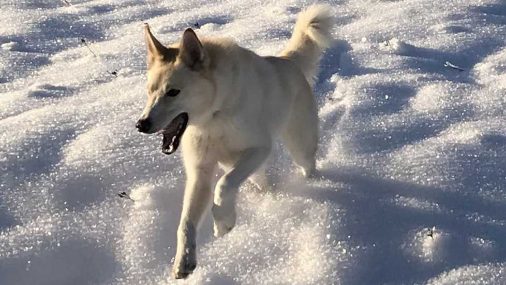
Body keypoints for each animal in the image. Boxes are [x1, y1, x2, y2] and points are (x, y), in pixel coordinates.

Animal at [135, 5, 332, 278]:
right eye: (149, 91)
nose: (141, 125)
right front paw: (184, 260)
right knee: (260, 181)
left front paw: (223, 222)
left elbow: (224, 185)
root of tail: (287, 60)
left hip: (299, 145)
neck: (214, 116)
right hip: (252, 167)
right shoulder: (200, 172)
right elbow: (186, 222)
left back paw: (308, 184)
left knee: (307, 164)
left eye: (173, 92)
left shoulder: (260, 149)